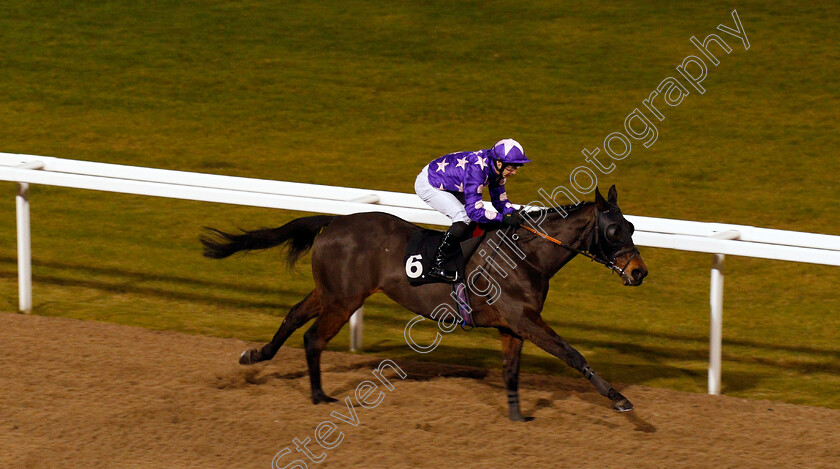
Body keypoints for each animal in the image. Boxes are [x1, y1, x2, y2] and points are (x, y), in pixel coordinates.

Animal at [203, 185, 648, 418]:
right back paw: (318, 396)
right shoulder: (524, 319)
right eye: (613, 231)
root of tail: (334, 222)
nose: (639, 272)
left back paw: (255, 355)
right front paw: (621, 400)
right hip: (344, 299)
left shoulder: (513, 325)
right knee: (314, 338)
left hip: (330, 292)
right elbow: (573, 354)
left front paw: (517, 415)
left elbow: (511, 372)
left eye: (630, 225)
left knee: (294, 317)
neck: (526, 255)